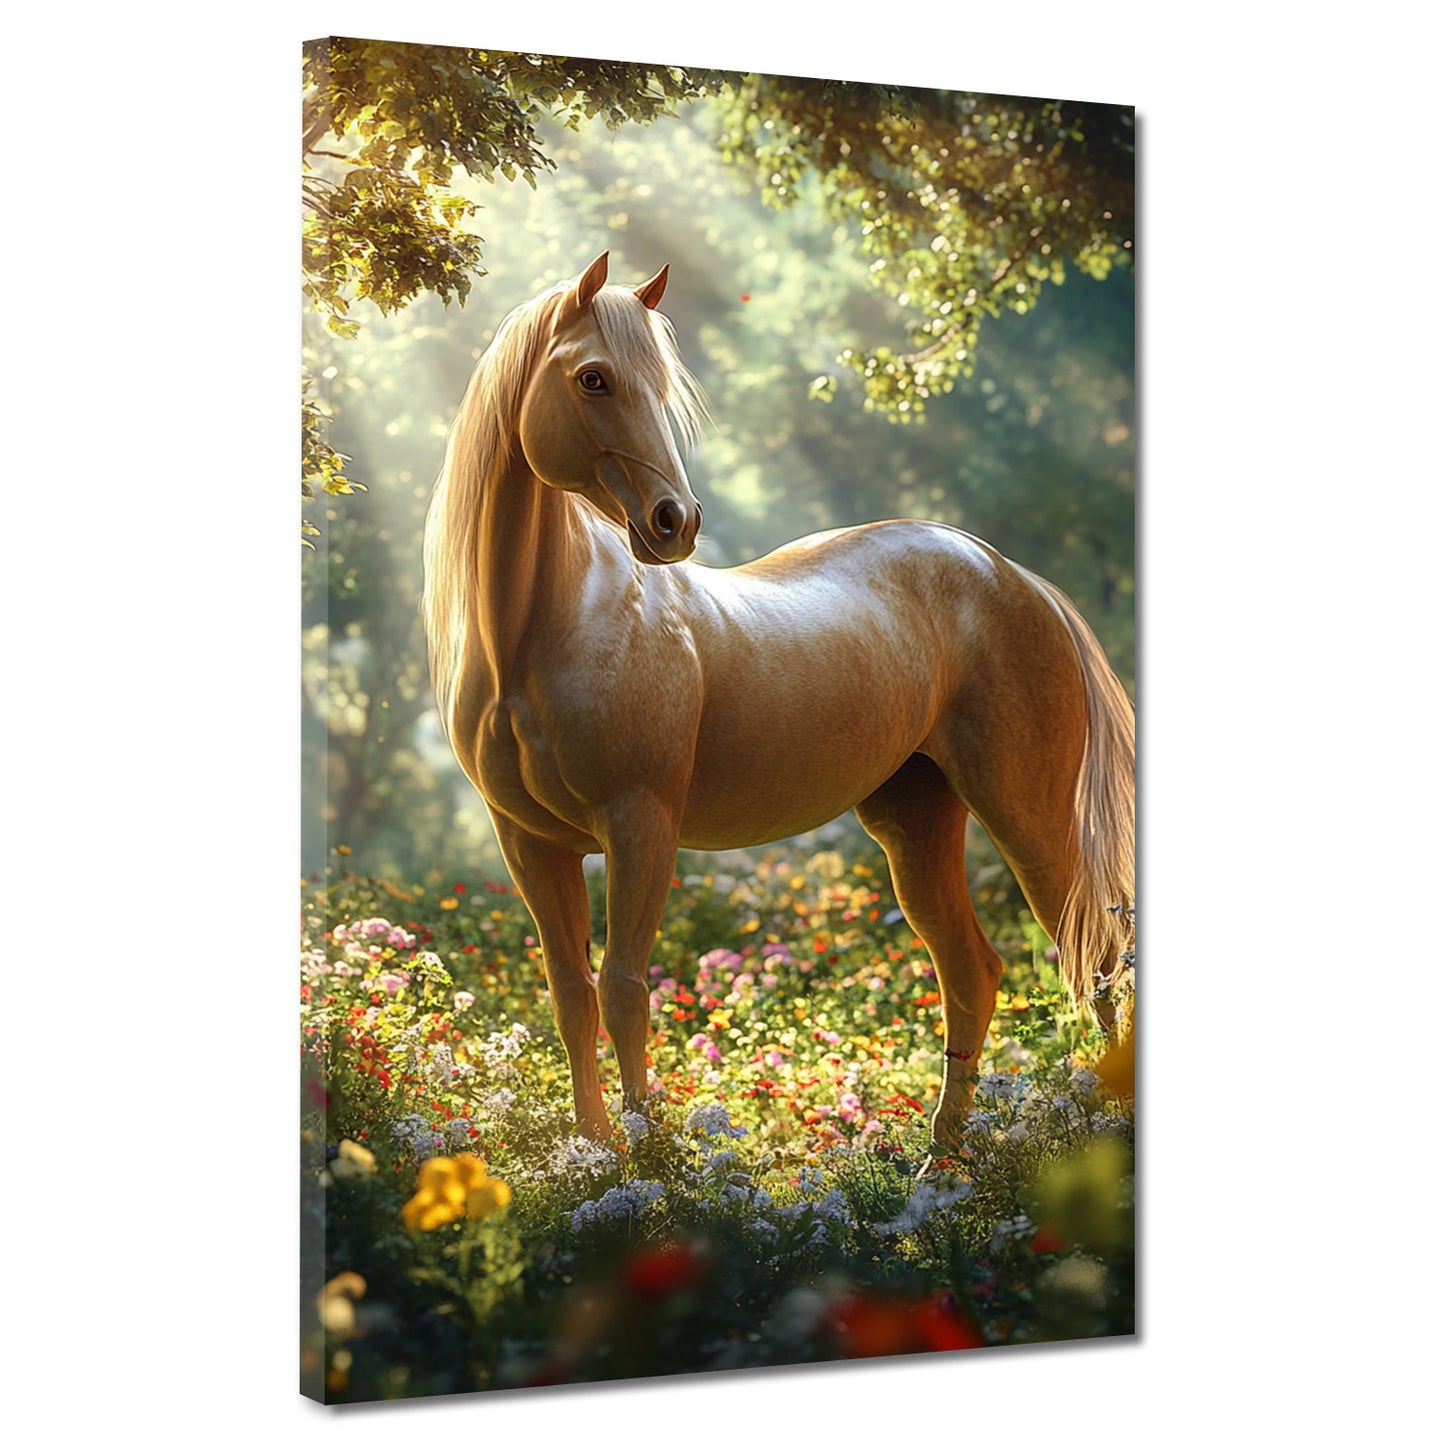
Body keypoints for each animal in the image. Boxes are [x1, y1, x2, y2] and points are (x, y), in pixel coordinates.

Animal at [423, 252, 1135, 1148]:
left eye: (662, 385)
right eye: (593, 378)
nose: (674, 522)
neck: (549, 629)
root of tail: (1010, 572)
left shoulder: (639, 827)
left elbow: (623, 990)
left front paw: (642, 1160)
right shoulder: (531, 844)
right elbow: (572, 997)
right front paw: (593, 1153)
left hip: (1026, 814)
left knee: (1098, 949)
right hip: (915, 821)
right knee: (973, 971)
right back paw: (939, 1163)